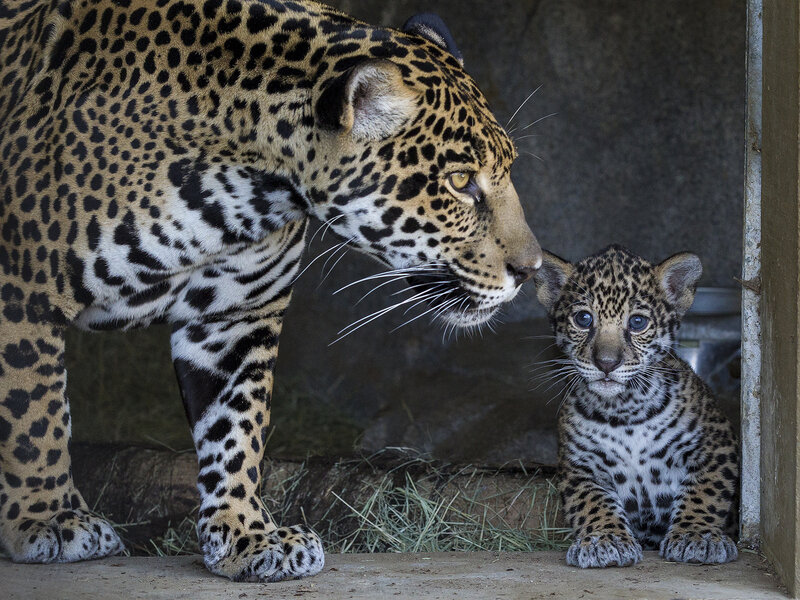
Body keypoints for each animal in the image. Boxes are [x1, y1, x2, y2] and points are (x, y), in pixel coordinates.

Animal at [0, 0, 542, 582]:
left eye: (508, 168)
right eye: (461, 182)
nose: (531, 269)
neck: (245, 185)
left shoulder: (235, 316)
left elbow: (236, 429)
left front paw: (248, 536)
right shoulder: (21, 291)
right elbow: (34, 417)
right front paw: (48, 519)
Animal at [532, 245, 738, 568]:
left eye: (638, 322)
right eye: (583, 319)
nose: (606, 363)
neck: (625, 411)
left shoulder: (717, 446)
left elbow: (706, 492)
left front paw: (697, 536)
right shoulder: (579, 465)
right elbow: (593, 501)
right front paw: (604, 540)